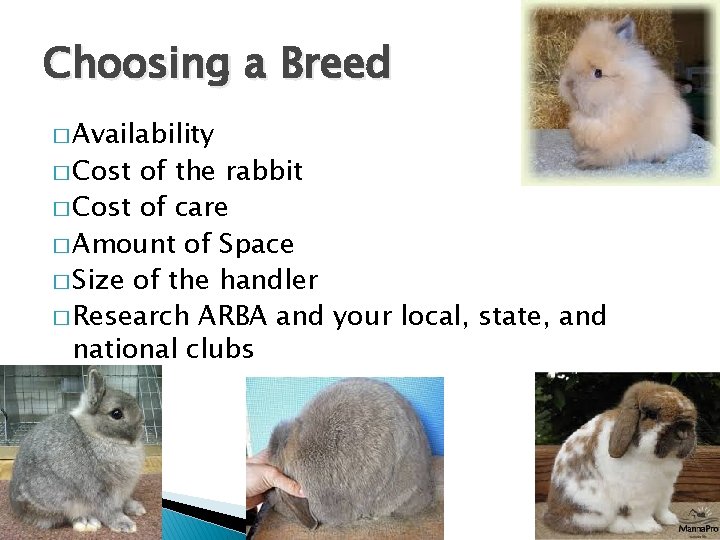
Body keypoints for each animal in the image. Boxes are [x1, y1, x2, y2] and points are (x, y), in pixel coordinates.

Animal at [9, 366, 146, 533]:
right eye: (116, 413)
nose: (140, 430)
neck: (97, 436)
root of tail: (17, 507)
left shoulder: (120, 493)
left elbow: (124, 502)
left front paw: (136, 508)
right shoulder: (102, 491)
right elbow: (109, 510)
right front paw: (125, 525)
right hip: (61, 502)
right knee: (66, 517)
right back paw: (87, 522)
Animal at [543, 381, 697, 534]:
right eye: (652, 415)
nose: (683, 432)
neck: (659, 461)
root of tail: (552, 516)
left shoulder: (666, 489)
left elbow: (663, 508)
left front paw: (671, 520)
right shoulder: (641, 496)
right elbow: (643, 513)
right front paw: (652, 527)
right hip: (597, 510)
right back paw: (625, 527)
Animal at [558, 16, 691, 169]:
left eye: (598, 73)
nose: (569, 84)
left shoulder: (616, 143)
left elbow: (605, 154)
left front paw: (586, 162)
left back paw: (658, 159)